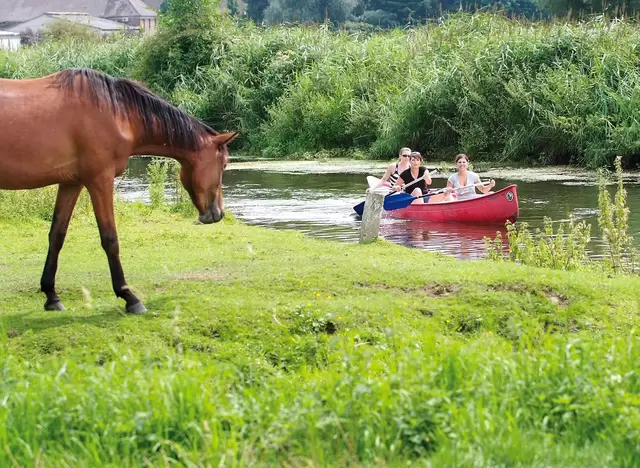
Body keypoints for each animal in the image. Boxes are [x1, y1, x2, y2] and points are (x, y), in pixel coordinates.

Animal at [0, 68, 239, 314]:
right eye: (224, 165)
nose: (218, 213)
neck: (118, 114)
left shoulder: (71, 183)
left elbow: (57, 235)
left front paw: (51, 296)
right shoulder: (100, 180)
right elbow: (110, 239)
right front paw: (129, 296)